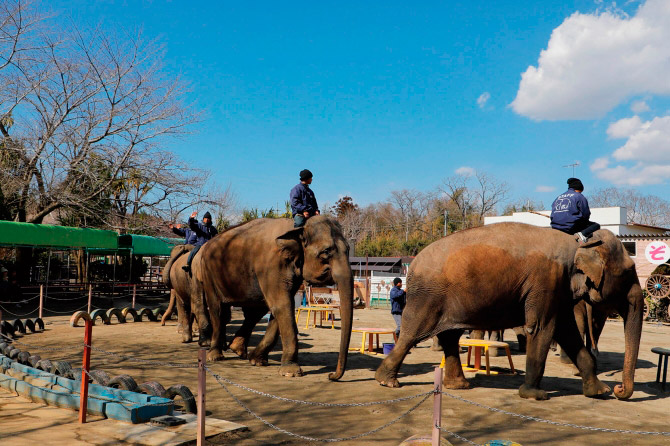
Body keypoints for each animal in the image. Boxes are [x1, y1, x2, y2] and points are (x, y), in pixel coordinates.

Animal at [193, 216, 354, 380]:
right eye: (326, 252)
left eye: (348, 250)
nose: (331, 375)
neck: (297, 228)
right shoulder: (270, 266)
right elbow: (282, 305)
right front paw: (291, 372)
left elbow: (283, 306)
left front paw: (258, 361)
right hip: (208, 274)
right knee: (217, 310)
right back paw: (215, 356)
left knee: (254, 312)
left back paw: (237, 349)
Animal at [378, 223, 644, 400]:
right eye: (628, 273)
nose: (619, 389)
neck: (579, 243)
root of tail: (412, 265)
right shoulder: (547, 280)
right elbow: (541, 328)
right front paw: (536, 395)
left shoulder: (559, 290)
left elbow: (566, 331)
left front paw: (598, 392)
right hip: (427, 297)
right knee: (413, 334)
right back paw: (387, 382)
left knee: (449, 336)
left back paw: (458, 386)